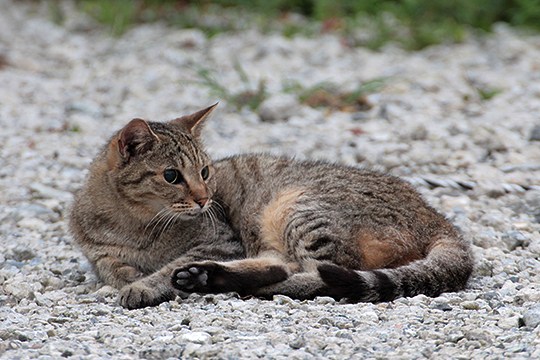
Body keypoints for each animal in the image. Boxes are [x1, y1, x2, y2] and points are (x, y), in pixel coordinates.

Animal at [68, 105, 472, 310]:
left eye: (205, 171)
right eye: (171, 176)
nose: (204, 198)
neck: (134, 223)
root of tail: (435, 215)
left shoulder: (220, 241)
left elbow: (167, 268)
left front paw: (146, 285)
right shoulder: (99, 255)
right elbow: (113, 268)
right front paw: (132, 278)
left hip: (294, 208)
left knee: (315, 274)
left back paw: (219, 281)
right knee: (283, 265)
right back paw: (210, 278)